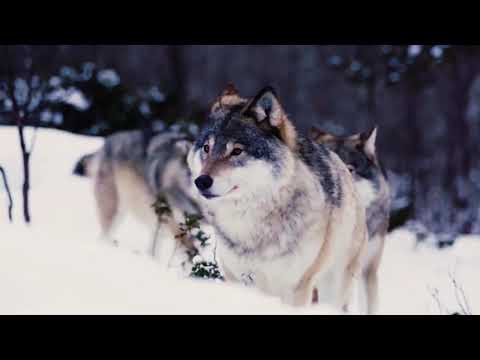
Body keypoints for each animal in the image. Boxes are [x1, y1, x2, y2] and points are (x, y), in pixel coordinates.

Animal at [187, 85, 368, 312]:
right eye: (206, 148)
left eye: (237, 151)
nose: (201, 181)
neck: (249, 223)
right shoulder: (238, 279)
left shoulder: (297, 286)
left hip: (332, 286)